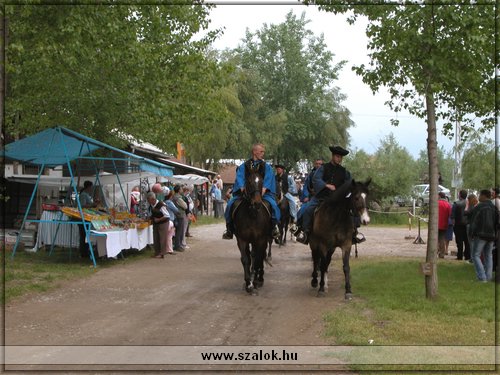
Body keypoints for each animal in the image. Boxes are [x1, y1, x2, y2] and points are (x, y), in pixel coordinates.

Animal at [233, 163, 274, 296]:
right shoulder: (242, 239)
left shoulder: (260, 239)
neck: (252, 214)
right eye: (249, 182)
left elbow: (258, 259)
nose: (257, 203)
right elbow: (246, 259)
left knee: (259, 256)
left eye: (261, 181)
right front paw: (248, 284)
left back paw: (259, 278)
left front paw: (255, 281)